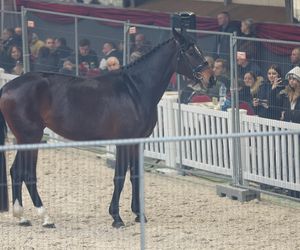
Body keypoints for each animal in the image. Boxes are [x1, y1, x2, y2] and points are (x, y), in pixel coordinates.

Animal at [0, 28, 209, 228]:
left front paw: (138, 214)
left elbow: (135, 176)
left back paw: (22, 217)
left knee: (16, 171)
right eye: (191, 51)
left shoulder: (136, 143)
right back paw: (46, 218)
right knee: (27, 173)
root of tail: (8, 87)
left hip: (25, 139)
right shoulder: (123, 142)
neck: (135, 90)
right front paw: (117, 218)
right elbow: (119, 177)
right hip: (30, 137)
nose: (210, 79)